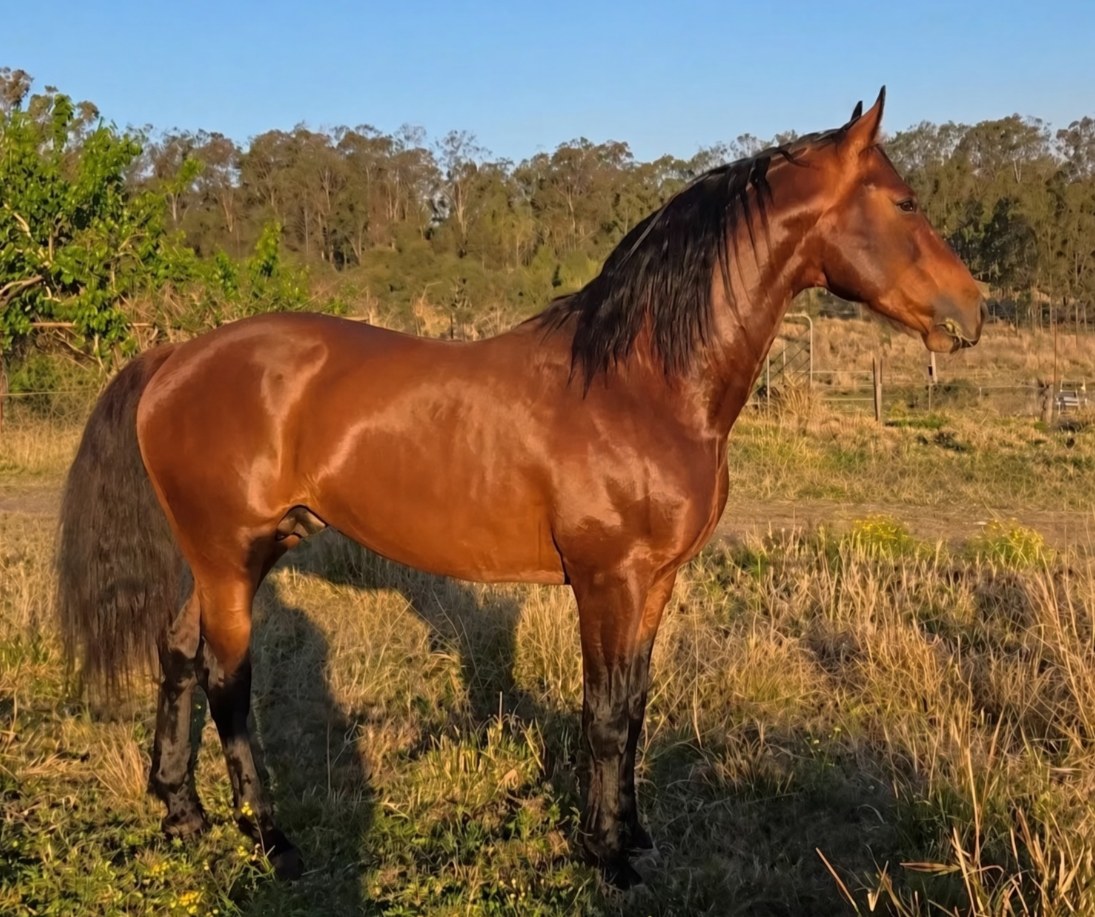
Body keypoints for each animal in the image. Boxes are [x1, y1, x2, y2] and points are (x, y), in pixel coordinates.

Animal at [56, 88, 984, 888]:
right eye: (903, 202)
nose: (973, 310)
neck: (640, 383)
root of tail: (175, 356)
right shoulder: (606, 581)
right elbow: (602, 714)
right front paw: (605, 856)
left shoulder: (655, 581)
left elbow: (634, 706)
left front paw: (635, 834)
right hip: (231, 556)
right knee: (227, 682)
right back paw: (274, 840)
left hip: (224, 557)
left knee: (177, 656)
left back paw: (183, 813)